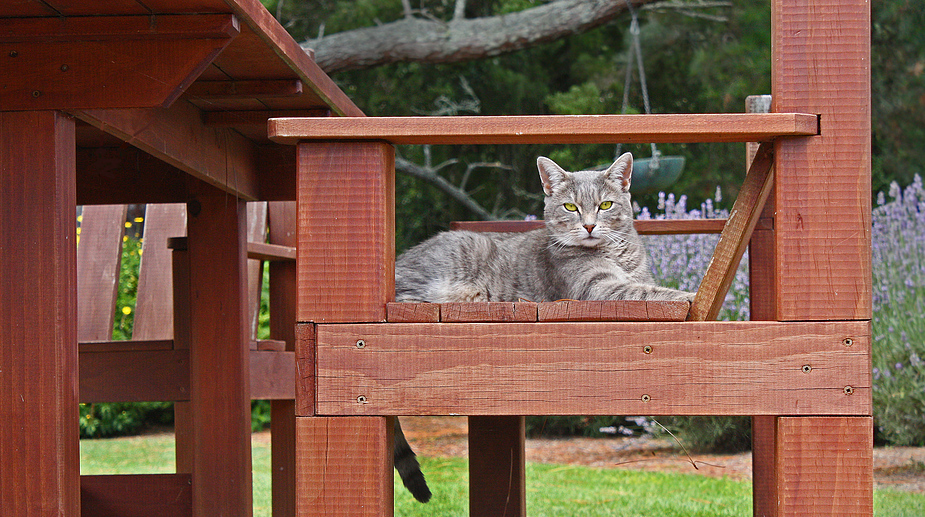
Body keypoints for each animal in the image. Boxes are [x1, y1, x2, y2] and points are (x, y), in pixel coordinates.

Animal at [392, 152, 692, 500]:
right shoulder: (597, 289)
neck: (617, 256)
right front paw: (689, 294)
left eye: (605, 205)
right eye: (570, 207)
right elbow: (650, 292)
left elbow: (648, 286)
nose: (589, 225)